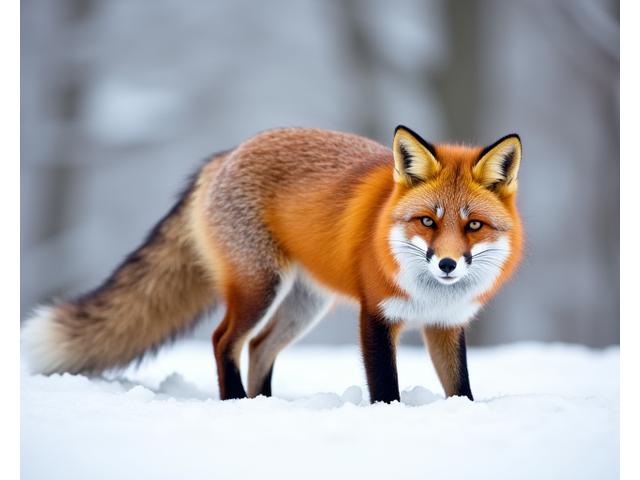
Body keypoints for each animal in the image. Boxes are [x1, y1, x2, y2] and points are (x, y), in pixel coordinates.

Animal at [22, 126, 523, 403]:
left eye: (473, 225)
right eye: (427, 221)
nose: (447, 264)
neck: (429, 294)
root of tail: (227, 154)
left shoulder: (447, 325)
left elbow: (461, 389)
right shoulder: (376, 316)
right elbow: (385, 388)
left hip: (303, 304)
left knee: (260, 346)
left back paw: (264, 405)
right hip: (260, 287)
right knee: (225, 340)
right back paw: (236, 404)